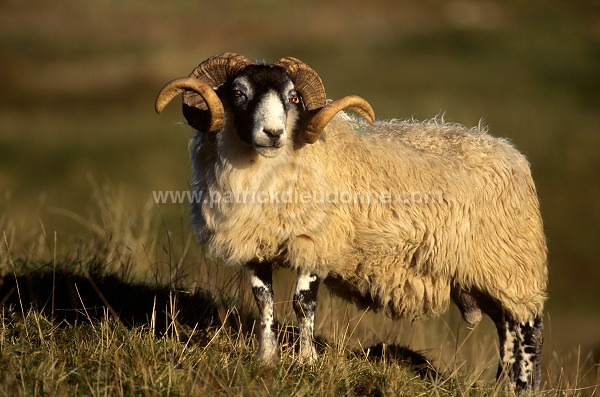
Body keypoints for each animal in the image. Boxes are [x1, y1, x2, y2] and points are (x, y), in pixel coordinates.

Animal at [155, 51, 548, 390]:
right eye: (238, 92)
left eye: (293, 98)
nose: (273, 133)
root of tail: (510, 151)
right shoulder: (256, 245)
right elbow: (264, 301)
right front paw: (266, 359)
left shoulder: (315, 242)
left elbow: (302, 303)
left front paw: (306, 361)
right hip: (487, 277)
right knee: (507, 333)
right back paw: (503, 388)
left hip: (514, 268)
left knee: (527, 333)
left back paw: (524, 387)